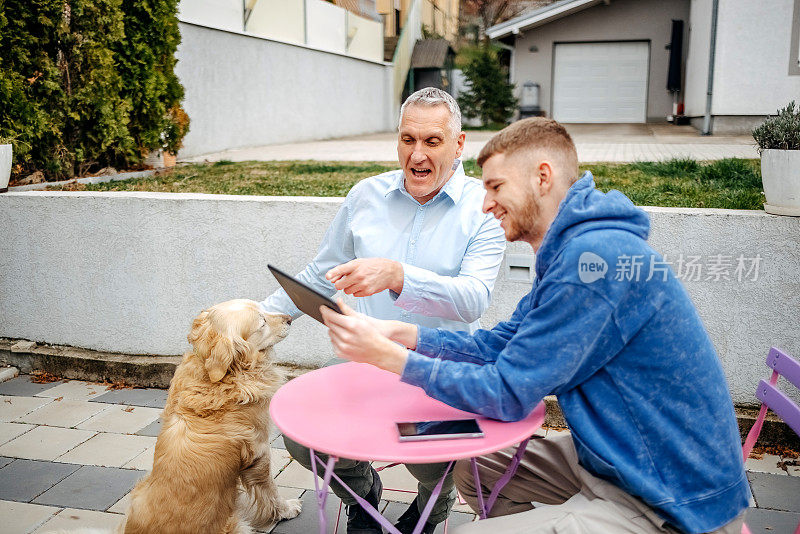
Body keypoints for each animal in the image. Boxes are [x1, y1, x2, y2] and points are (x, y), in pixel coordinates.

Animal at [119, 302, 304, 534]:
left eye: (263, 308)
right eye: (262, 322)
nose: (289, 318)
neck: (224, 376)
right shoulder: (260, 450)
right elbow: (270, 489)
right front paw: (286, 510)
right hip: (236, 526)